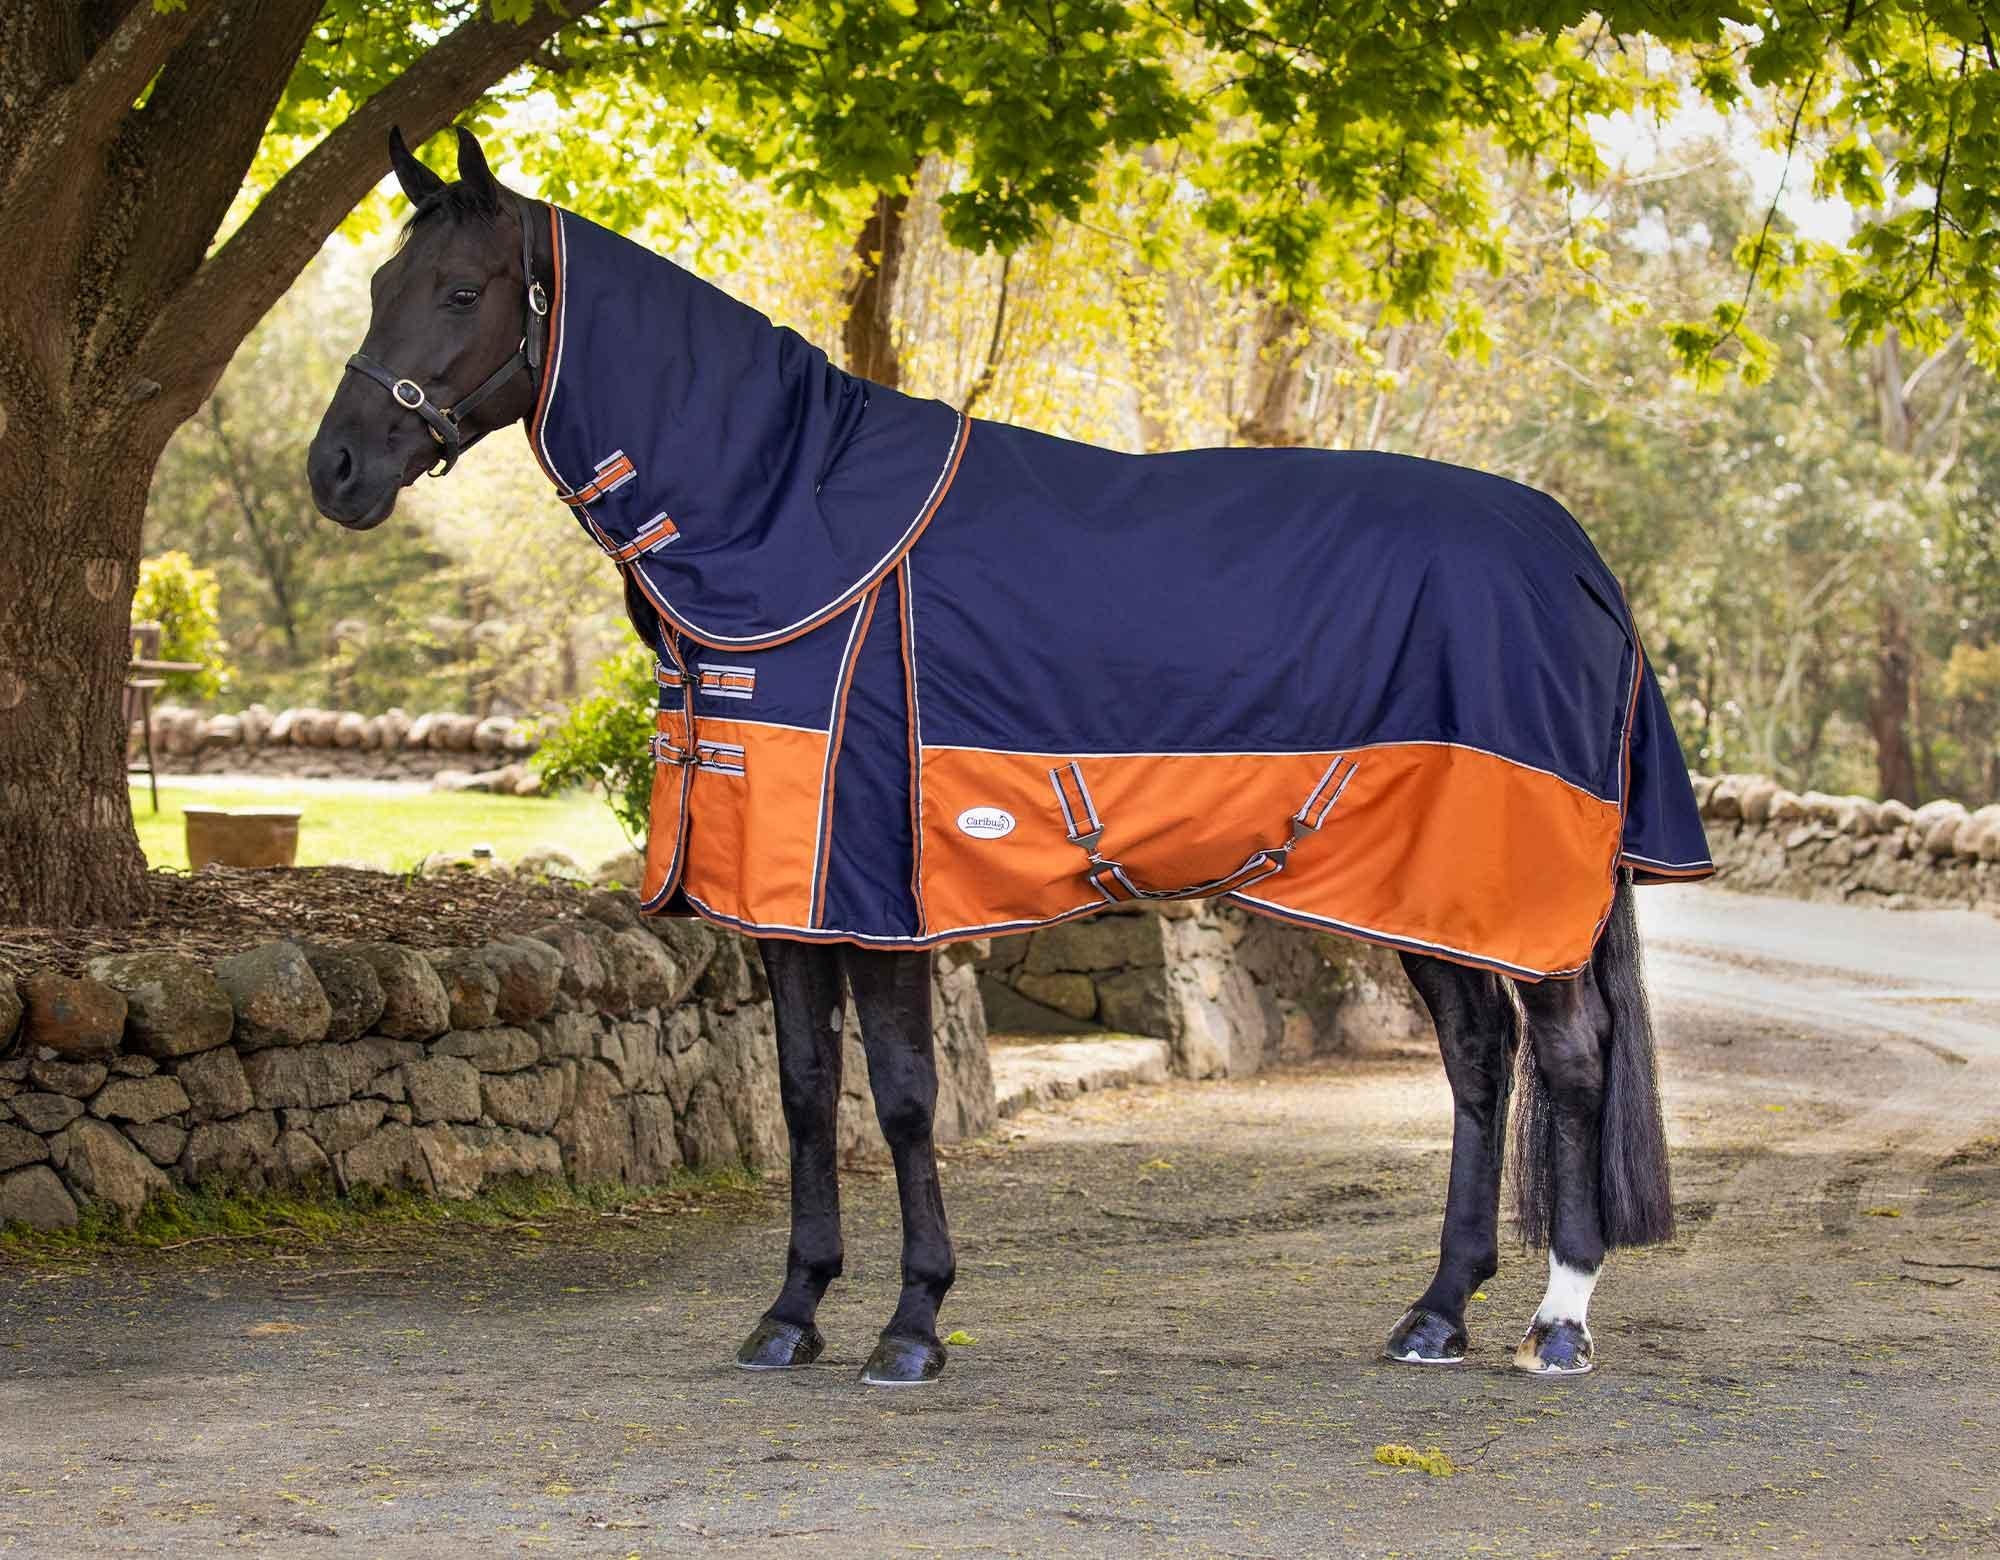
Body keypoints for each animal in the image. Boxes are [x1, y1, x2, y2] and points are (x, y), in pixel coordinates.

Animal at [308, 127, 1712, 1387]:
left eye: (459, 290)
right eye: (377, 285)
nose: (336, 469)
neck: (794, 524)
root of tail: (1571, 555)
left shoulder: (871, 893)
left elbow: (901, 1096)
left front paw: (910, 1325)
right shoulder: (780, 900)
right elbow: (805, 1093)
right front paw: (790, 1314)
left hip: (1514, 880)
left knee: (1569, 1057)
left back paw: (1556, 1322)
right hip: (1421, 887)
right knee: (1479, 1059)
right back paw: (1435, 1312)